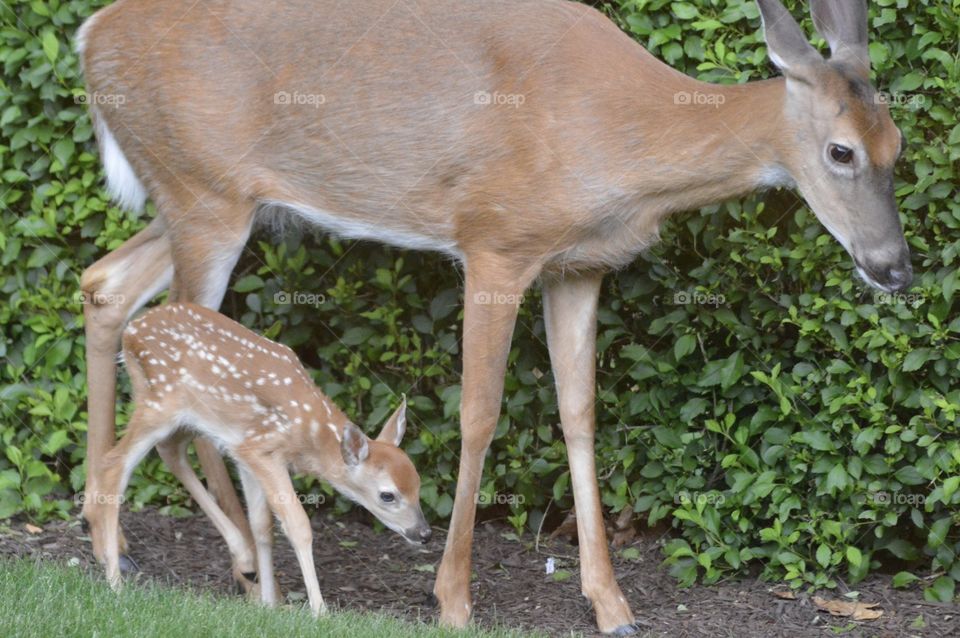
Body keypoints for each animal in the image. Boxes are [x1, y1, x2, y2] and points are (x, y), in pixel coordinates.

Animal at [75, 0, 908, 632]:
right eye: (841, 151)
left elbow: (580, 414)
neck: (620, 140)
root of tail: (88, 35)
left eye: (898, 144)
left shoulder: (579, 266)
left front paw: (612, 605)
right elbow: (478, 413)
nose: (895, 266)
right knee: (185, 356)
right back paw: (244, 565)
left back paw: (110, 535)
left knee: (105, 284)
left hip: (201, 200)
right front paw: (452, 597)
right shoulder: (496, 242)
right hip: (202, 194)